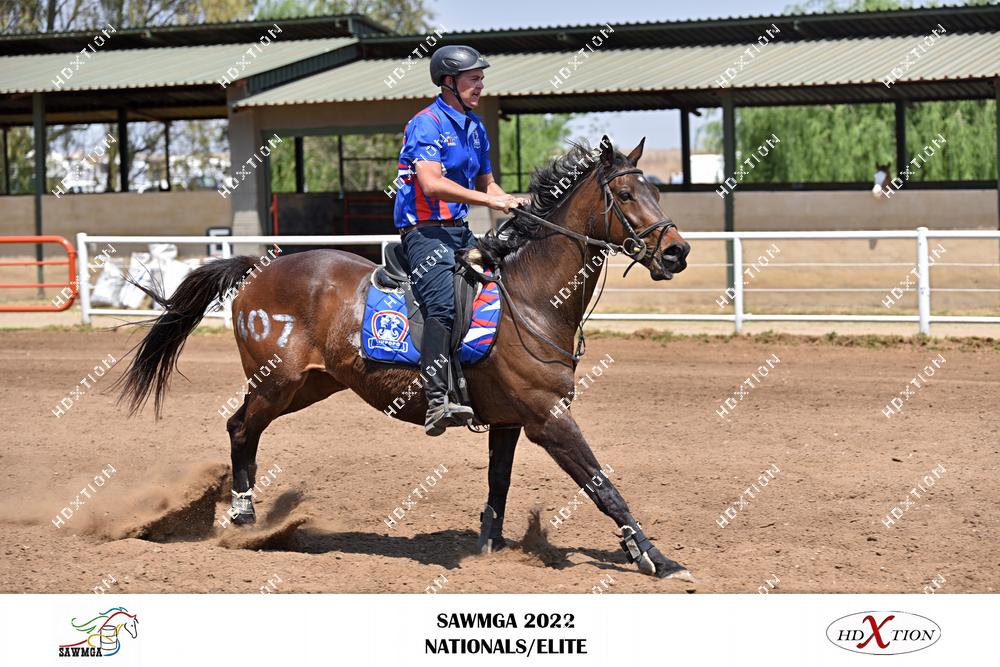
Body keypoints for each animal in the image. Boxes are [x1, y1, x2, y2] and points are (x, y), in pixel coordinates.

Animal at [114, 135, 693, 579]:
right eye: (625, 194)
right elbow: (603, 486)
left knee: (247, 432)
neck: (529, 297)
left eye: (657, 190)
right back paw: (244, 519)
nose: (676, 252)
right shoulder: (548, 417)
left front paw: (487, 550)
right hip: (276, 382)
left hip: (308, 386)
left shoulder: (510, 422)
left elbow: (499, 487)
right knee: (239, 429)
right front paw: (655, 558)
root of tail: (259, 267)